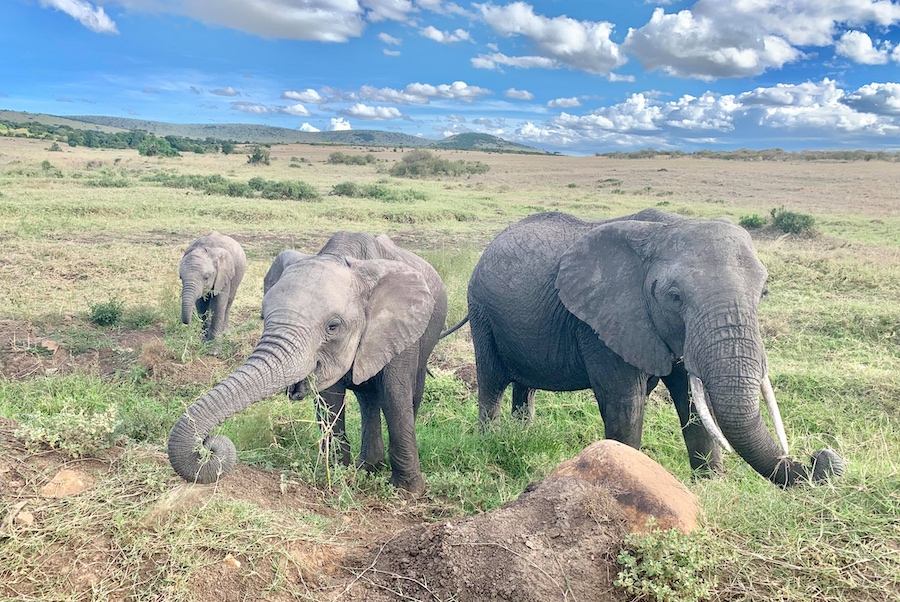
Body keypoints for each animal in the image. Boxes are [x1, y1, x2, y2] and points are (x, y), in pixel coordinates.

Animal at [167, 230, 448, 492]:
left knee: (408, 395)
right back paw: (368, 467)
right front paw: (338, 474)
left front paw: (408, 492)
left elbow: (394, 395)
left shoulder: (399, 329)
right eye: (263, 317)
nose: (208, 445)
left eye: (333, 326)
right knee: (367, 398)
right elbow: (330, 399)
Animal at [458, 209, 844, 486]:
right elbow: (625, 404)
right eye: (675, 297)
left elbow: (692, 403)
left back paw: (523, 435)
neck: (664, 229)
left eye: (764, 293)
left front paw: (711, 487)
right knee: (492, 382)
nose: (822, 455)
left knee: (525, 387)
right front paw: (624, 475)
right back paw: (490, 442)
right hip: (481, 311)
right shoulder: (600, 322)